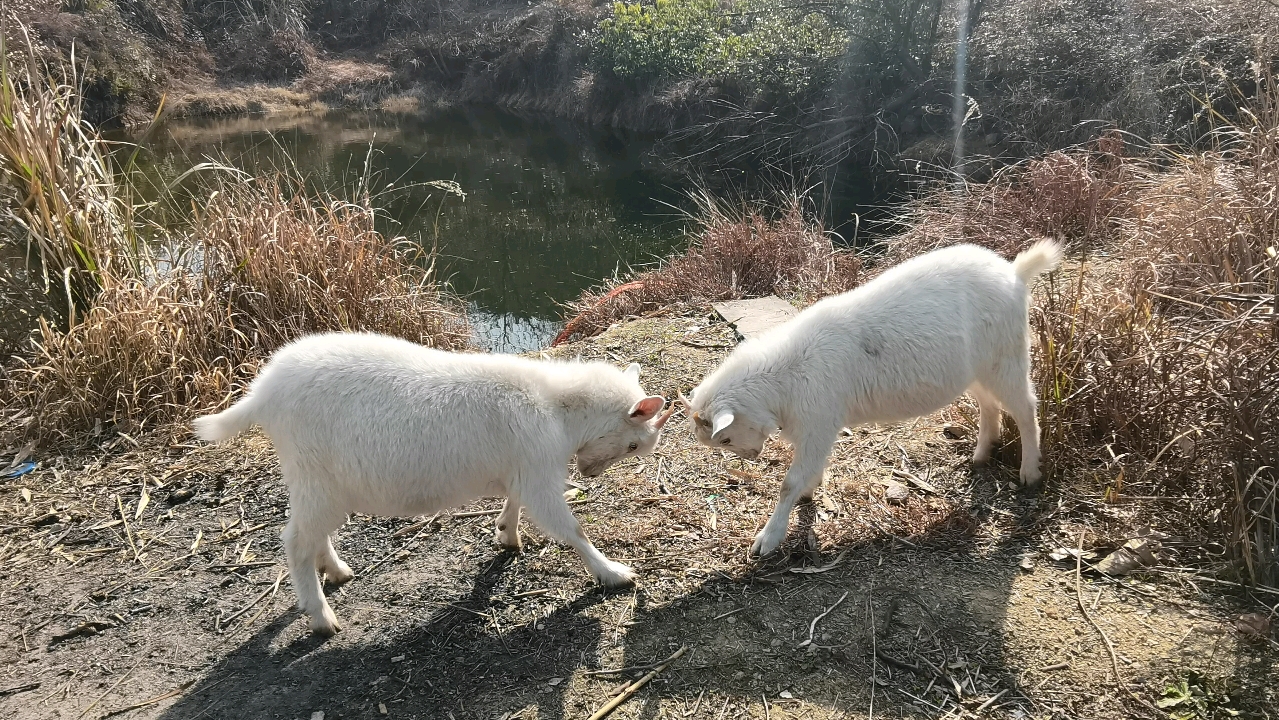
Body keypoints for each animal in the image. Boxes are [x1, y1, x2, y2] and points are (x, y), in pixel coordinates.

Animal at [685, 241, 1064, 557]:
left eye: (725, 439)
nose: (752, 456)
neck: (786, 377)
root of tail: (1015, 272)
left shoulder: (818, 423)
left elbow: (788, 483)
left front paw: (767, 539)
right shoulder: (815, 430)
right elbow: (807, 472)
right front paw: (810, 490)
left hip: (1007, 356)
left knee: (1026, 409)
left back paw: (1030, 472)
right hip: (978, 368)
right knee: (989, 404)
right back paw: (982, 454)